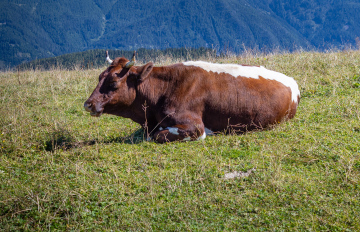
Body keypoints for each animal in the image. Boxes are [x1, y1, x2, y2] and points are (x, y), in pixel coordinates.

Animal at [83, 51, 300, 142]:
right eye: (99, 77)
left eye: (113, 83)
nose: (88, 104)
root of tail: (291, 81)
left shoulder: (194, 126)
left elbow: (157, 136)